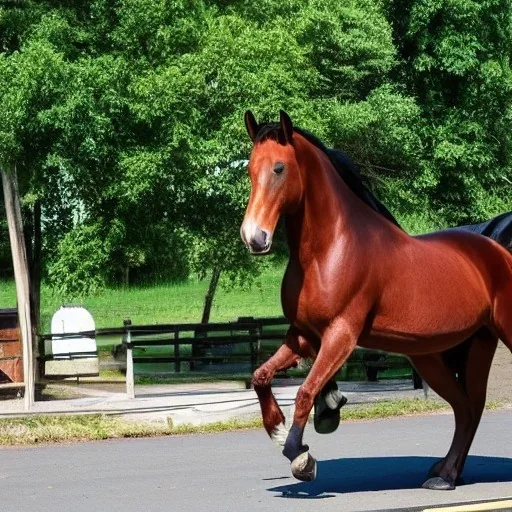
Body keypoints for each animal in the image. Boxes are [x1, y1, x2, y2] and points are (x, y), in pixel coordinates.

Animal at [242, 111, 512, 488]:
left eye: (279, 168)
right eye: (250, 169)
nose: (255, 238)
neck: (329, 249)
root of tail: (498, 250)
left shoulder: (342, 333)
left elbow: (305, 391)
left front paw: (300, 455)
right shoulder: (303, 335)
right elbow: (262, 376)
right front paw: (281, 429)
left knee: (468, 407)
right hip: (452, 351)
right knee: (467, 408)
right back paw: (445, 475)